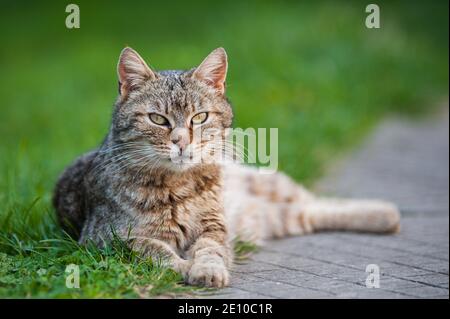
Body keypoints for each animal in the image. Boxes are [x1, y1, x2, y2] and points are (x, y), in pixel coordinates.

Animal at [53, 48, 400, 290]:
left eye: (199, 118)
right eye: (158, 119)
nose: (181, 141)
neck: (178, 186)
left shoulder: (214, 228)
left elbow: (210, 251)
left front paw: (206, 269)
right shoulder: (105, 239)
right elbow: (153, 250)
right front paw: (183, 266)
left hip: (268, 183)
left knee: (317, 201)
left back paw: (385, 212)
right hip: (270, 215)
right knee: (309, 212)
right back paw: (384, 217)